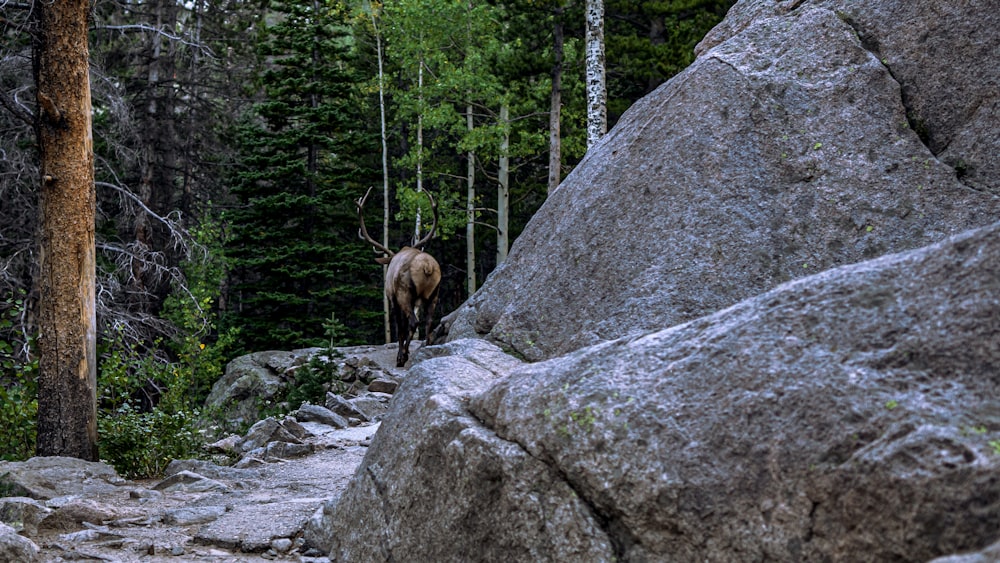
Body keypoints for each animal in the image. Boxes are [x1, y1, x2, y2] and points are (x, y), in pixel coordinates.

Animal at [358, 187, 440, 368]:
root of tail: (428, 266)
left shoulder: (392, 298)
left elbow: (399, 329)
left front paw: (402, 354)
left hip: (404, 293)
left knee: (413, 322)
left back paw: (402, 358)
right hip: (434, 294)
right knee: (429, 322)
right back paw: (427, 349)